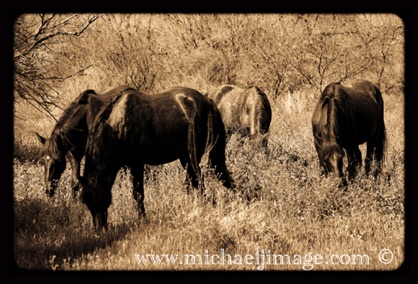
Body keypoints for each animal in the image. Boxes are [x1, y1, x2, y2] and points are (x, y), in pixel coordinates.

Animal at [79, 85, 235, 230]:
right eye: (87, 203)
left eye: (99, 198)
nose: (100, 229)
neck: (117, 127)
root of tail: (209, 102)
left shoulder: (137, 164)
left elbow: (138, 194)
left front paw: (142, 220)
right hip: (186, 158)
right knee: (194, 182)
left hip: (193, 157)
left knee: (199, 182)